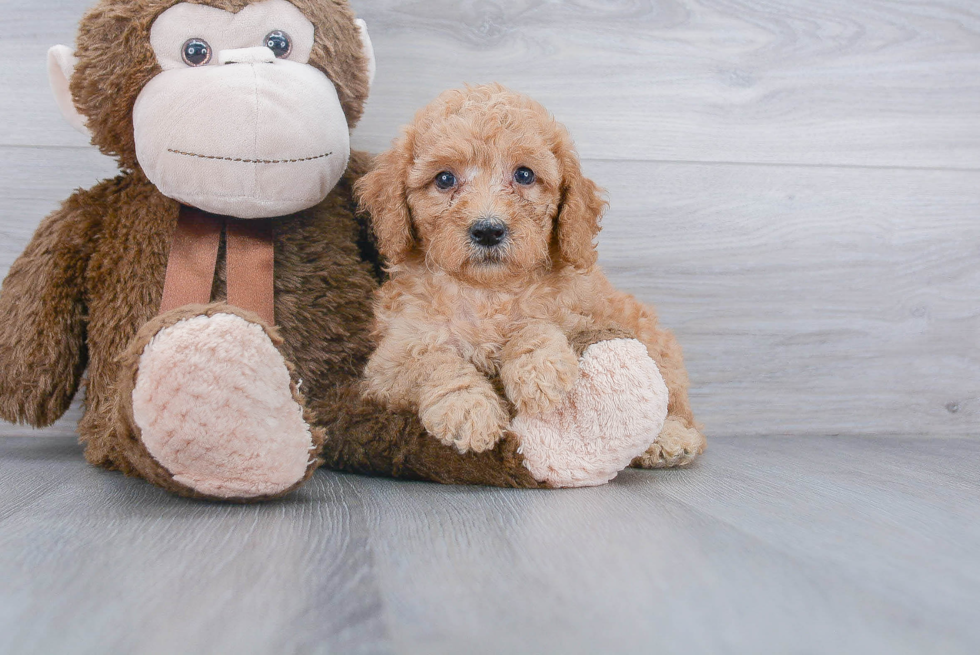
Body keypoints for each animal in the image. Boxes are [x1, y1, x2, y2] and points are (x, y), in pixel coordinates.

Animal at [358, 84, 704, 468]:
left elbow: (536, 324)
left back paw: (669, 439)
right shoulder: (387, 366)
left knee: (681, 411)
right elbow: (434, 362)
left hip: (654, 341)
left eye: (524, 175)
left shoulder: (583, 319)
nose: (488, 230)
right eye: (444, 179)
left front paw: (539, 369)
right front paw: (469, 410)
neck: (487, 291)